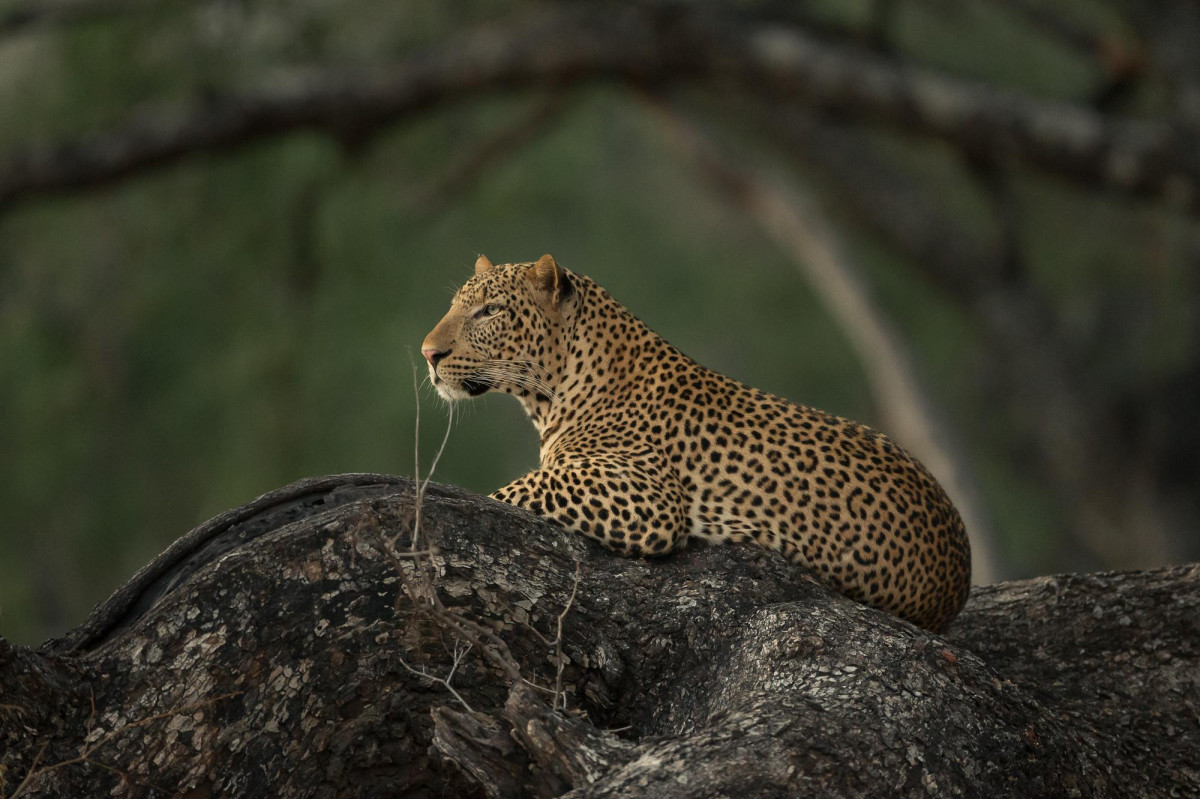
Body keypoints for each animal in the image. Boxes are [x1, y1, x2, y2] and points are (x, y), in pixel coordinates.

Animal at [421, 254, 972, 632]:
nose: (428, 353)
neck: (554, 392)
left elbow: (514, 490)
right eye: (452, 305)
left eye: (489, 311)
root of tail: (959, 581)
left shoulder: (645, 496)